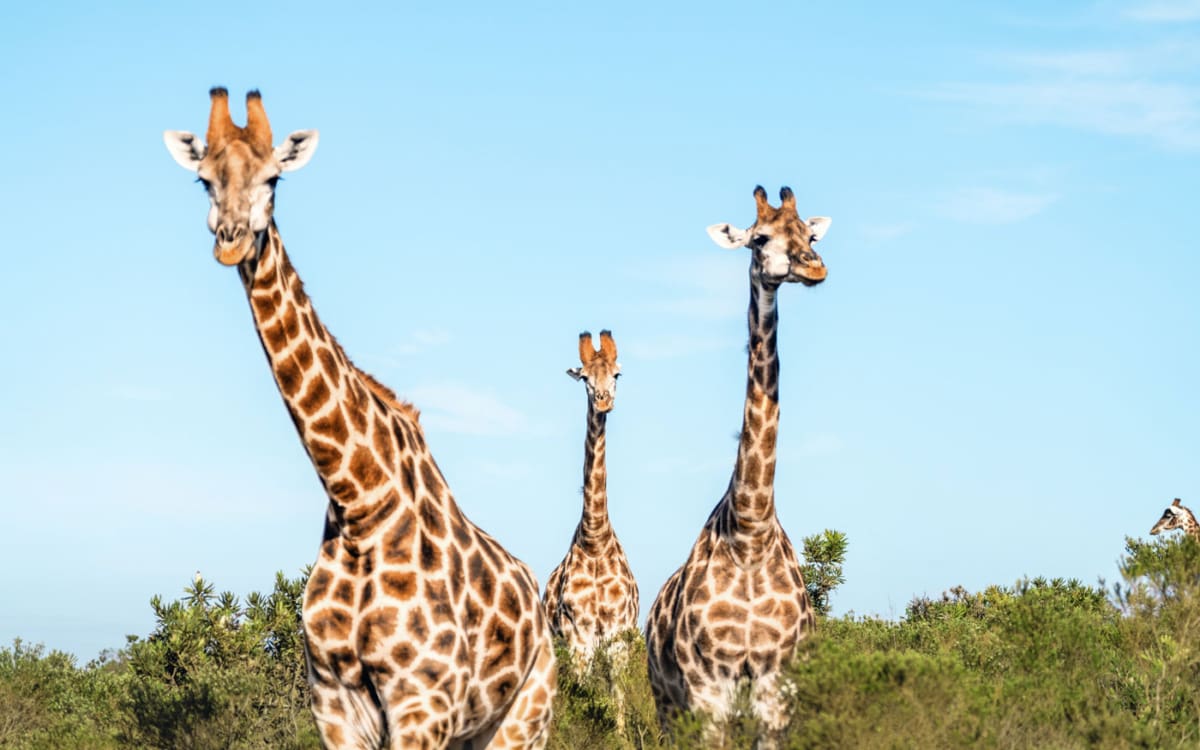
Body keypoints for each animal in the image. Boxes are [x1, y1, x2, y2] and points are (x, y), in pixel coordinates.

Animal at [162, 89, 554, 748]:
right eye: (203, 179)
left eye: (274, 178)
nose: (231, 239)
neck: (359, 505)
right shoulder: (334, 703)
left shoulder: (423, 703)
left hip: (527, 716)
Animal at [542, 331, 638, 662]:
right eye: (584, 377)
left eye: (617, 374)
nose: (604, 401)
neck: (595, 540)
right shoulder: (576, 635)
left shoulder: (618, 634)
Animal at [643, 186, 830, 739]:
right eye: (761, 238)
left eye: (810, 235)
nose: (814, 267)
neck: (750, 532)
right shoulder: (707, 691)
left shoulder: (776, 689)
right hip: (666, 704)